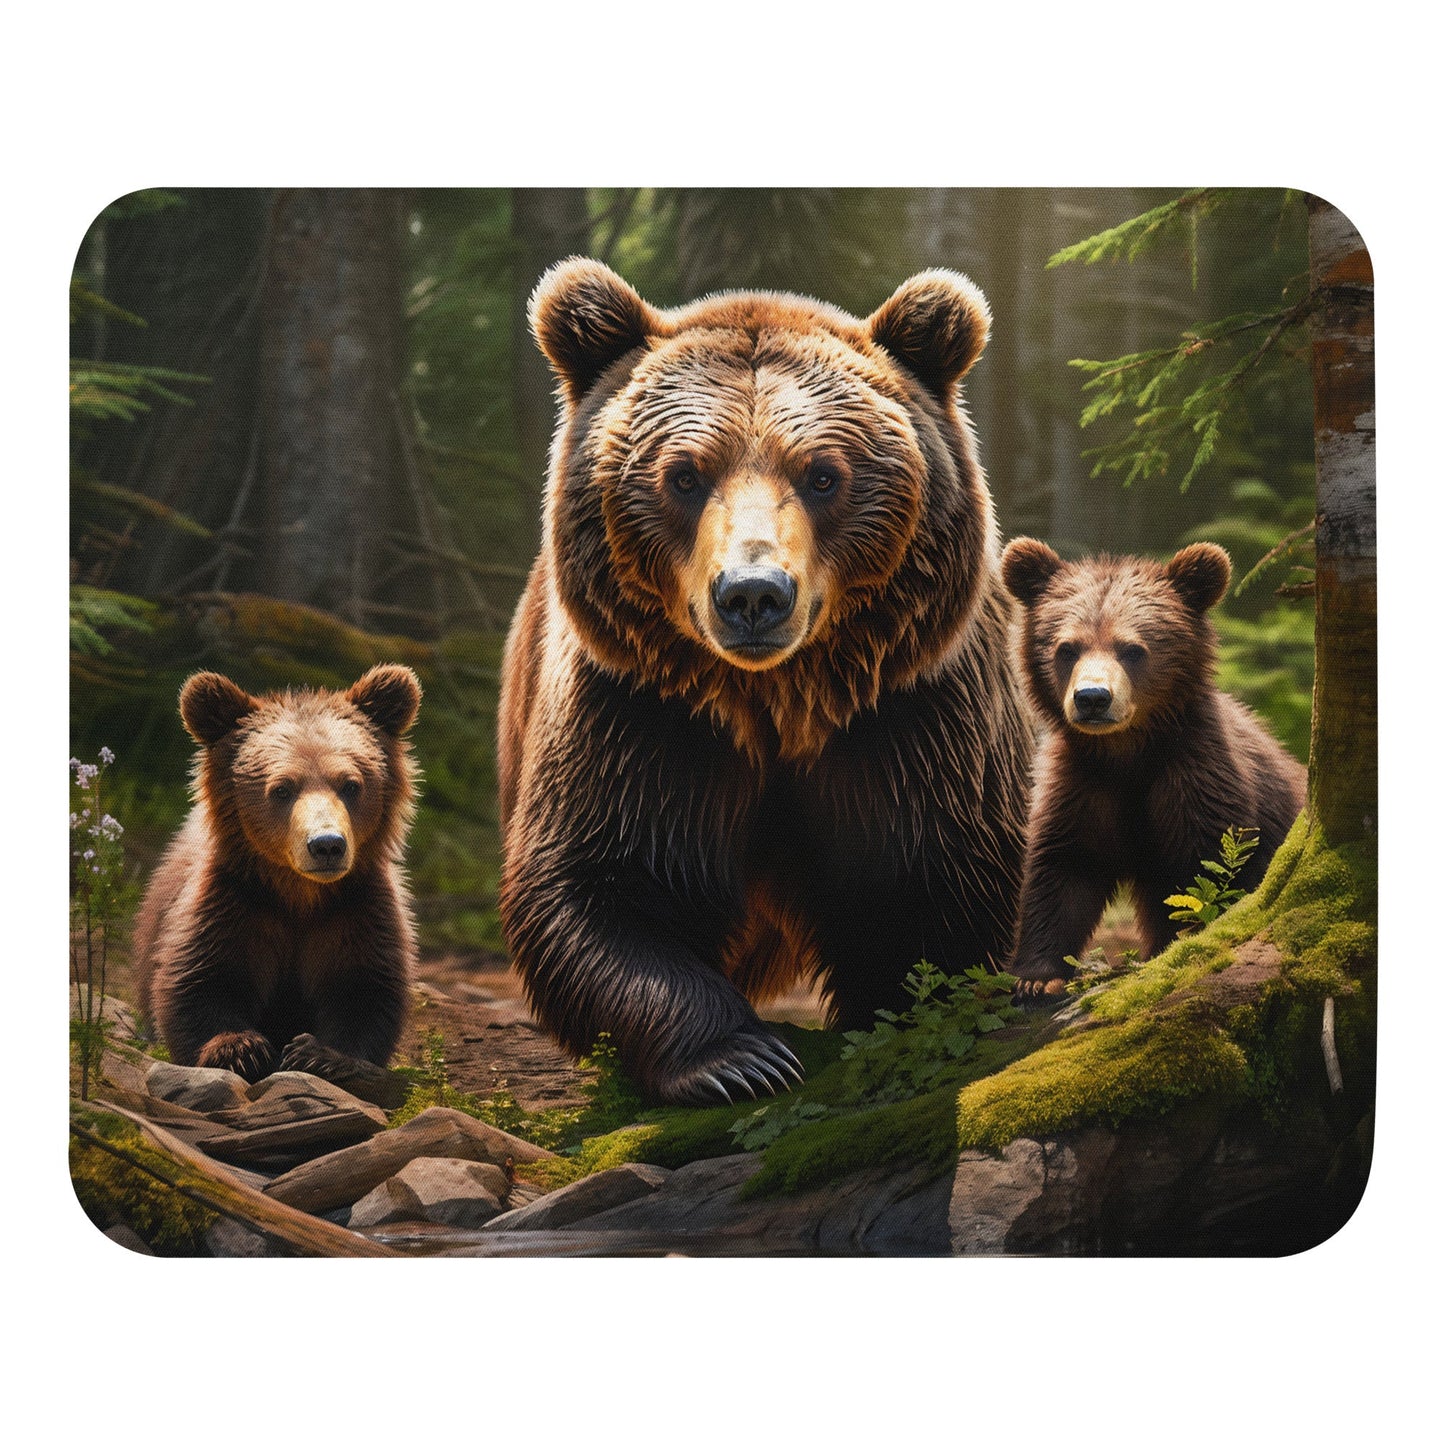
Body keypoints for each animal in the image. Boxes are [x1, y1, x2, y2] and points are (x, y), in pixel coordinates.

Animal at [133, 664, 423, 1084]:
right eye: (282, 789)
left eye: (351, 784)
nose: (327, 844)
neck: (298, 893)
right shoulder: (234, 901)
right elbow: (200, 979)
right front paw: (240, 1049)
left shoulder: (356, 908)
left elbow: (365, 988)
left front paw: (320, 1054)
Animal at [497, 257, 1036, 1106]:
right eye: (684, 475)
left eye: (822, 474)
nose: (752, 593)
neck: (777, 699)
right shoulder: (641, 712)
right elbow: (595, 883)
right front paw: (739, 1058)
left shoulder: (910, 713)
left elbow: (930, 886)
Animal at [999, 538, 1307, 994]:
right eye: (1066, 648)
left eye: (1132, 649)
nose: (1093, 698)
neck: (1128, 752)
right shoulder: (1083, 784)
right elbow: (1064, 870)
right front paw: (1037, 977)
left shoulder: (1195, 777)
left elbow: (1206, 877)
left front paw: (1178, 946)